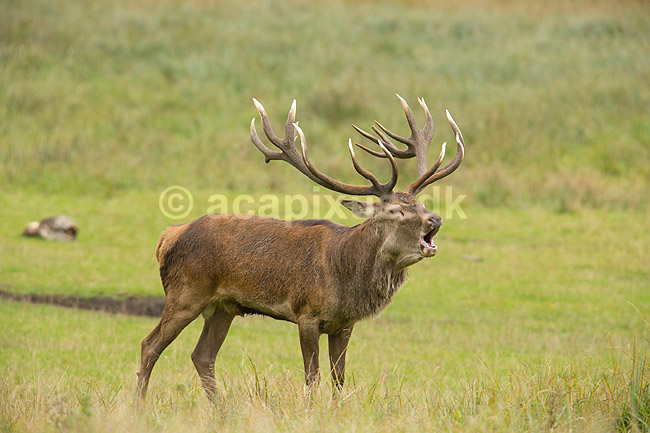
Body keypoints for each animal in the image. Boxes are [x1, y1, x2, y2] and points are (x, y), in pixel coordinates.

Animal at [136, 95, 465, 402]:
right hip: (186, 293)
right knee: (149, 345)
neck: (346, 277)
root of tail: (168, 236)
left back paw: (221, 410)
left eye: (421, 203)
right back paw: (139, 405)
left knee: (202, 355)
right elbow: (312, 376)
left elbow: (338, 379)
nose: (435, 219)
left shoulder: (344, 324)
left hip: (222, 307)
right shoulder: (307, 314)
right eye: (396, 211)